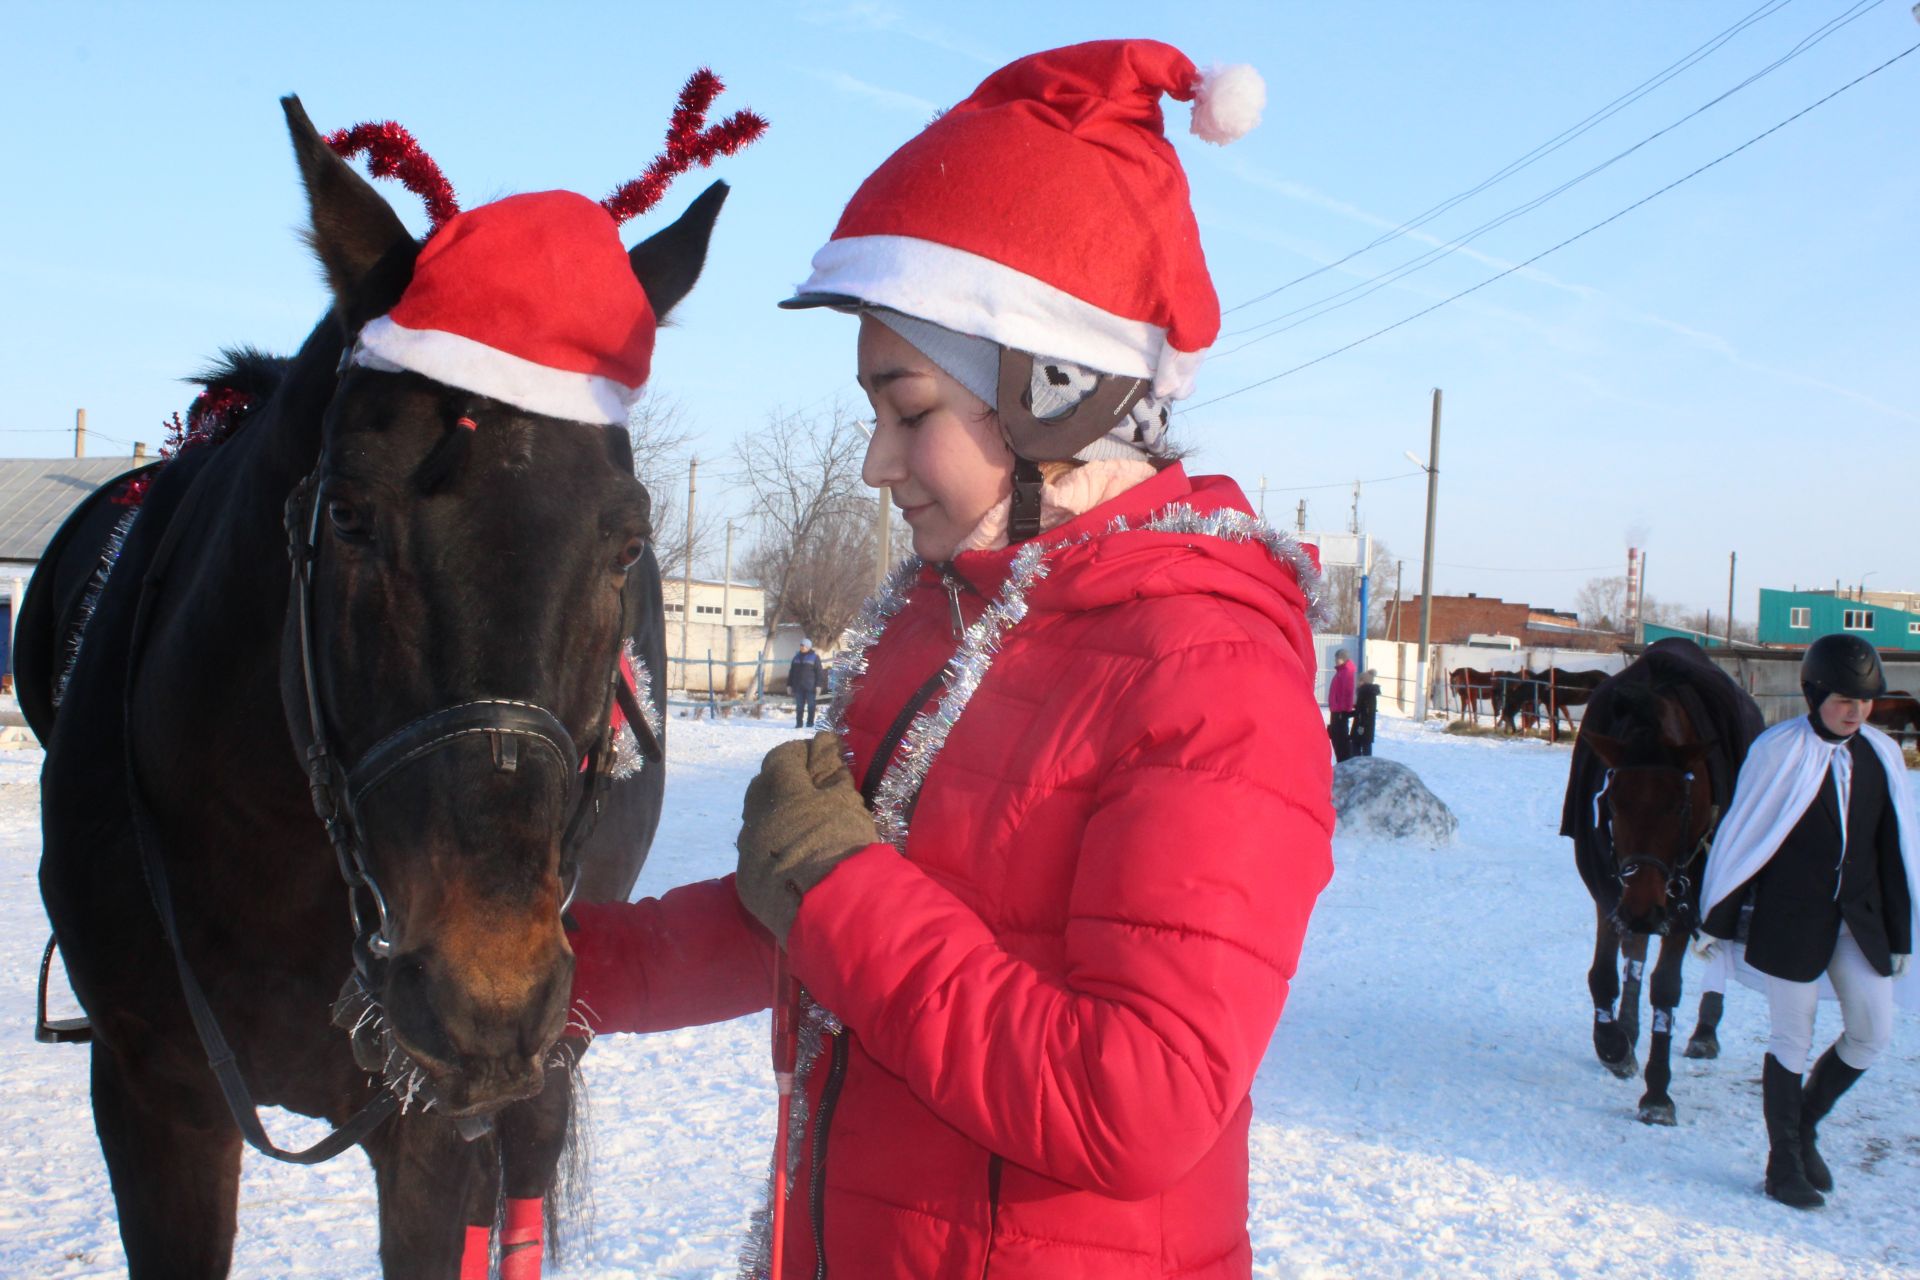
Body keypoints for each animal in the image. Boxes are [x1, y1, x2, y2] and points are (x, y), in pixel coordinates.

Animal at [22, 94, 741, 1274]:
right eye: (351, 516)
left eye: (628, 540)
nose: (484, 991)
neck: (270, 853)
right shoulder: (150, 1097)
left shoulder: (433, 1132)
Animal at [1551, 637, 1758, 1120]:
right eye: (1611, 798)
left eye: (1681, 804)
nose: (1644, 907)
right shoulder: (1609, 888)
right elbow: (1606, 971)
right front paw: (1613, 1043)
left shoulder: (1683, 899)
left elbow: (1666, 987)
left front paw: (1658, 1091)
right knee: (1635, 951)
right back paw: (1628, 1026)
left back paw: (1704, 1031)